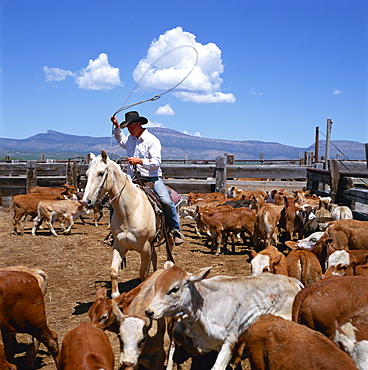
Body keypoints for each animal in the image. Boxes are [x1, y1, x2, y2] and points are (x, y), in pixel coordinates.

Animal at [82, 150, 173, 298]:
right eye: (86, 174)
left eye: (101, 173)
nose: (86, 202)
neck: (128, 212)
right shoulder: (119, 246)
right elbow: (113, 271)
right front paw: (115, 295)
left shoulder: (145, 248)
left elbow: (143, 274)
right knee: (155, 257)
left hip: (169, 237)